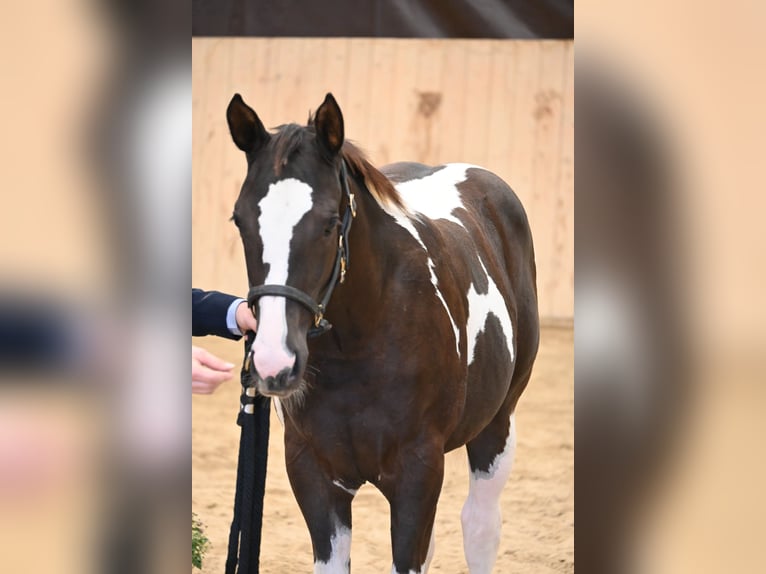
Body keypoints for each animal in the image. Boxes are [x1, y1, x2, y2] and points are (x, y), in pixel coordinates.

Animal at [226, 92, 539, 574]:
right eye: (240, 221)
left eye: (329, 223)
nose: (273, 363)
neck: (358, 349)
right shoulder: (313, 473)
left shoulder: (417, 474)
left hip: (497, 425)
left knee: (480, 526)